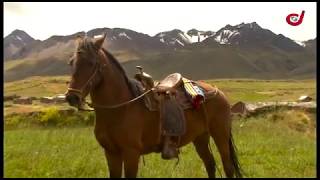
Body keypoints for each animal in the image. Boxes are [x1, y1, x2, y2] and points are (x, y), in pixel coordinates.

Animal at [65, 34, 242, 178]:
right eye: (72, 63)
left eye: (91, 63)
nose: (71, 97)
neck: (120, 109)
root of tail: (218, 91)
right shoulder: (111, 153)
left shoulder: (131, 153)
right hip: (200, 137)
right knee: (210, 165)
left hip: (220, 134)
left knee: (228, 167)